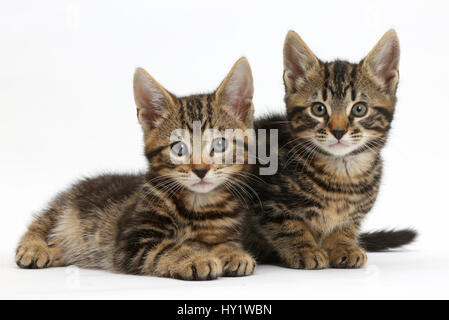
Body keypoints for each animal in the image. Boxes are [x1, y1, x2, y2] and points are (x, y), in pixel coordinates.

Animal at [15, 57, 256, 280]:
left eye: (220, 144)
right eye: (179, 148)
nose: (201, 170)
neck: (198, 207)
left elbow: (226, 242)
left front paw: (233, 253)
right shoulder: (132, 240)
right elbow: (167, 248)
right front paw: (196, 258)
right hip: (67, 205)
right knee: (41, 221)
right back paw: (34, 248)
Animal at [243, 30, 414, 268]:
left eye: (359, 109)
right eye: (318, 109)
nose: (339, 131)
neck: (341, 173)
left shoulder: (355, 212)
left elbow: (346, 225)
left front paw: (343, 246)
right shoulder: (266, 202)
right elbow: (289, 226)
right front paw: (305, 249)